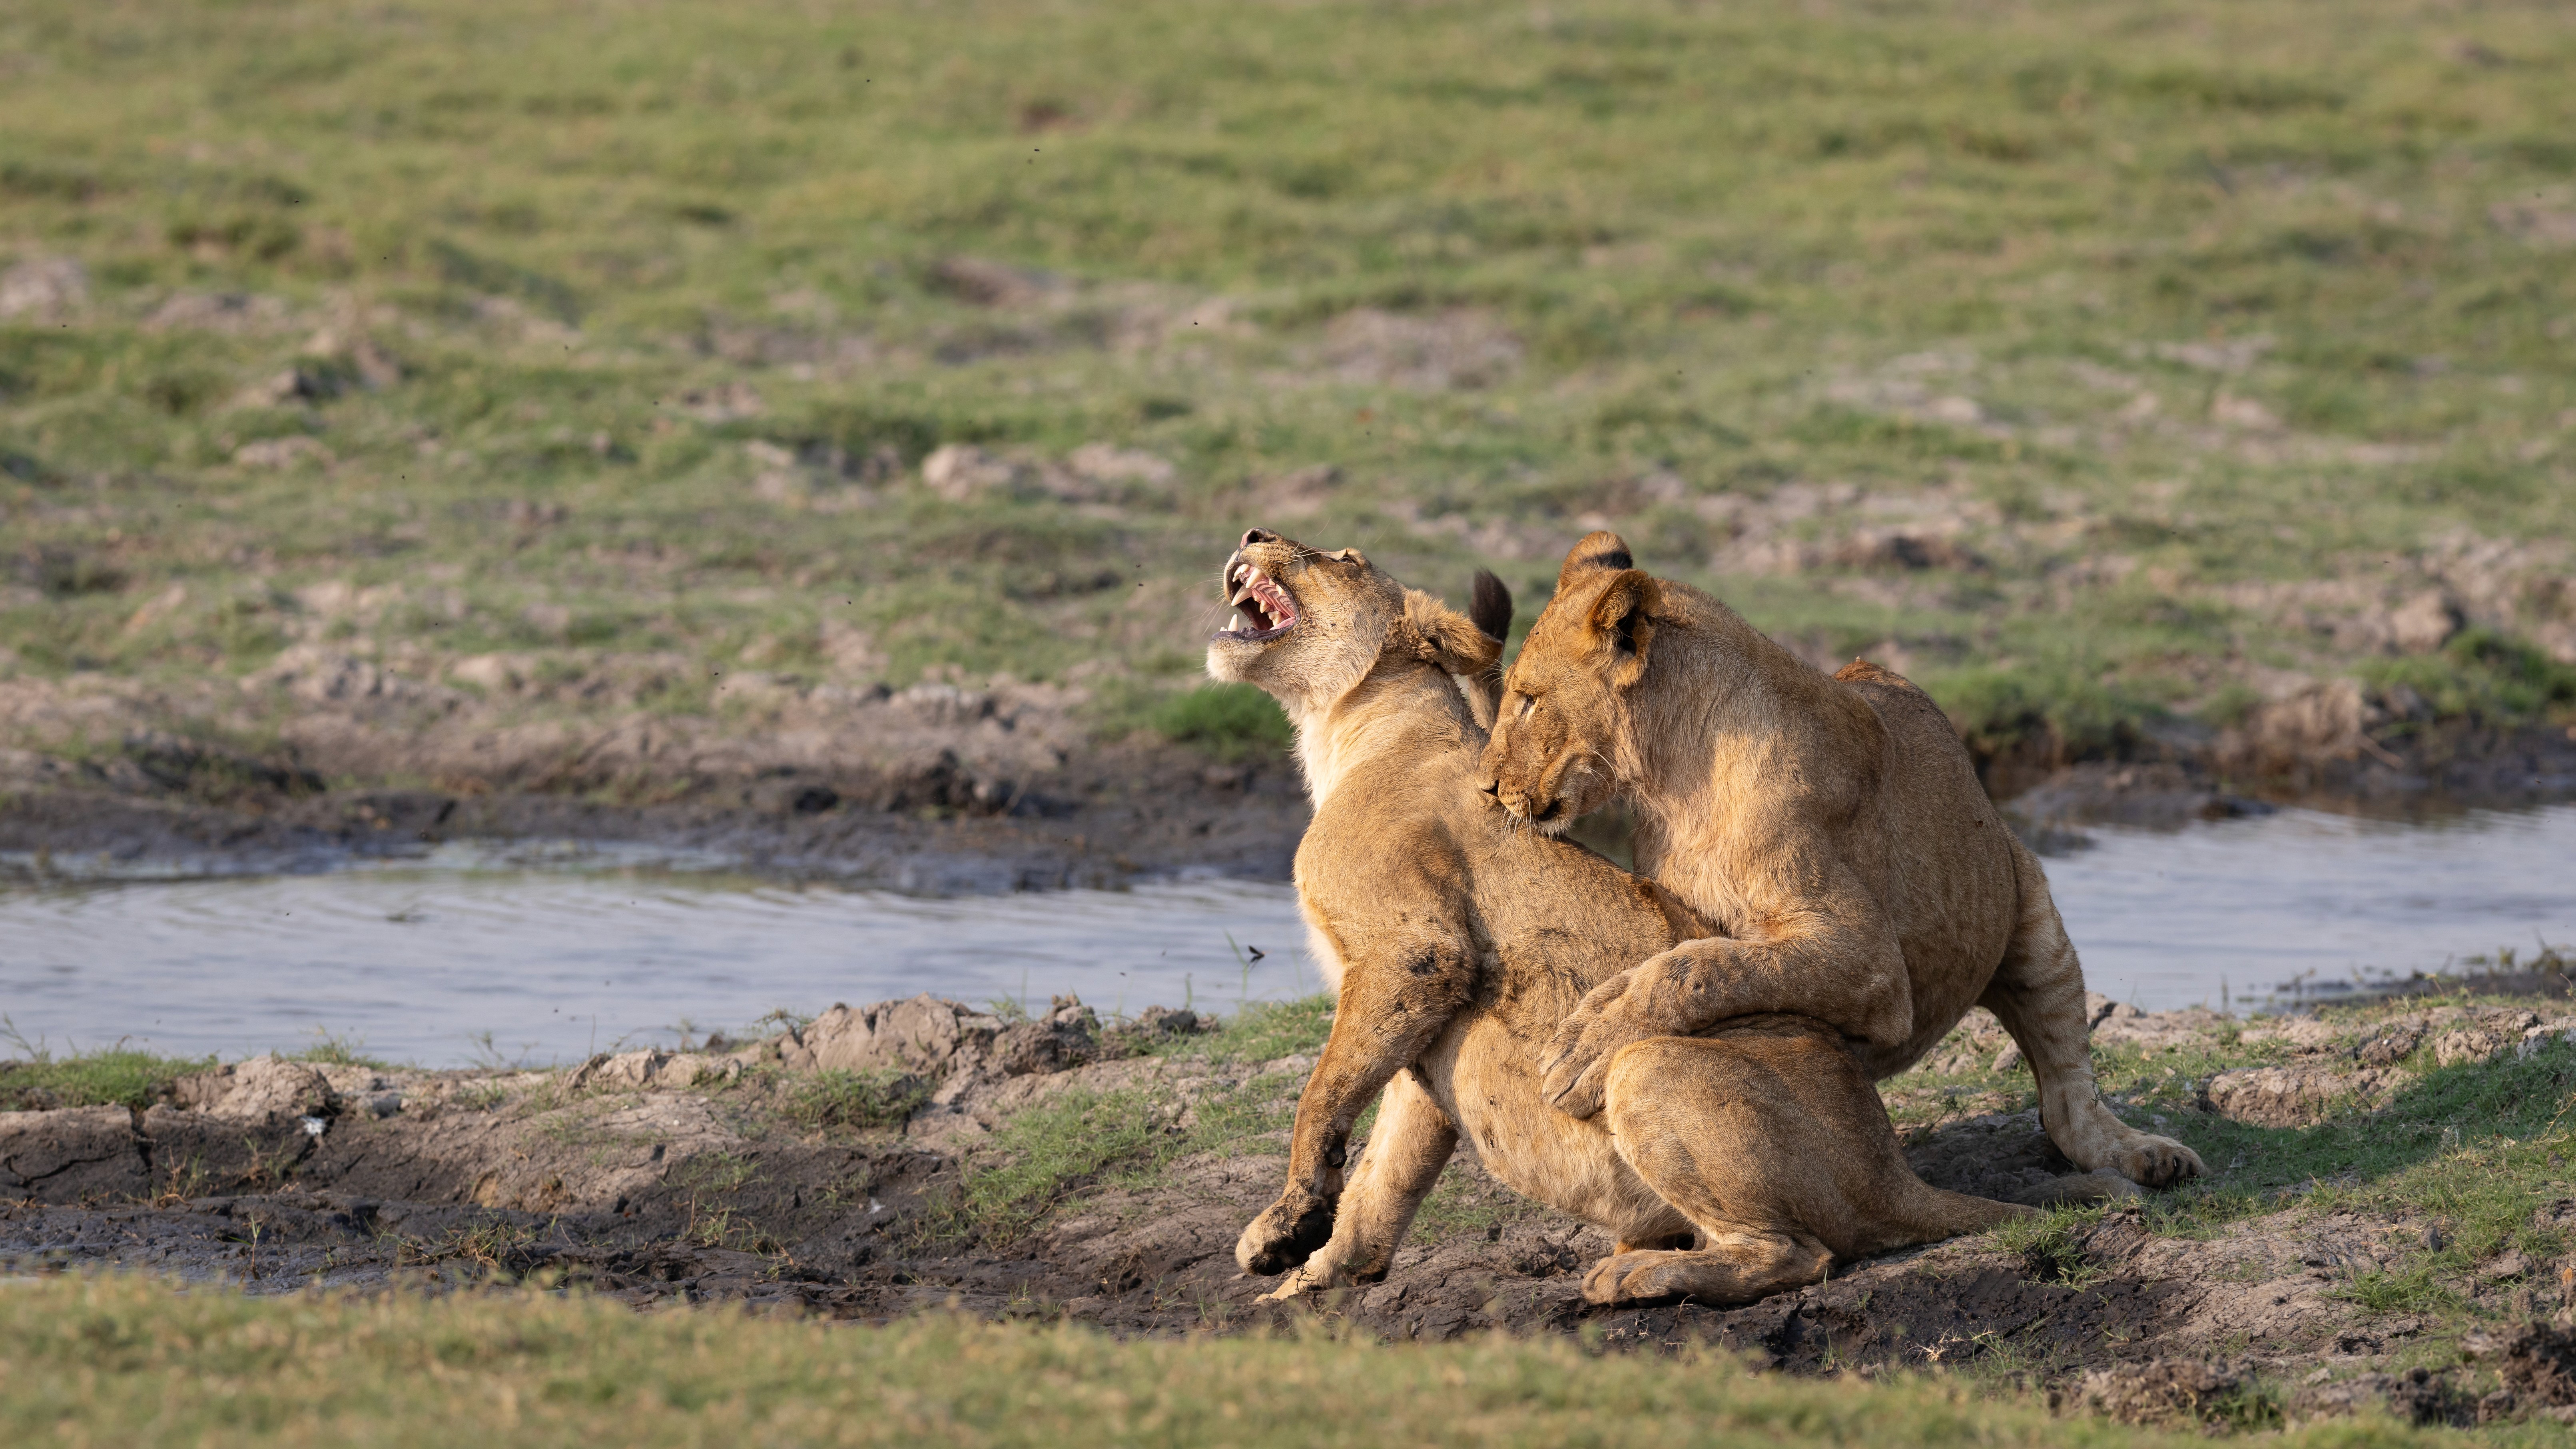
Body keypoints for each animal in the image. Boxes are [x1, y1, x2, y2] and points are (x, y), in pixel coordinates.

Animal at [1204, 526, 2029, 1306]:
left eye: (1342, 558)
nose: (1250, 535)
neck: (1345, 734)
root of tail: (1892, 1171)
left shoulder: (1416, 955)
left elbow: (1321, 1096)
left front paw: (1292, 1219)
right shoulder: (1426, 1038)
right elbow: (1384, 1178)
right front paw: (1304, 1278)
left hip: (1642, 1065)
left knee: (1797, 1253)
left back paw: (1632, 1279)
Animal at [1476, 531, 2204, 1189]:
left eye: (1529, 700)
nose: (1485, 787)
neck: (1673, 784)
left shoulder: (1870, 960)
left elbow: (1700, 967)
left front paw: (1590, 1042)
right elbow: (1696, 957)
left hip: (2035, 918)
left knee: (2067, 1096)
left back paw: (2149, 1156)